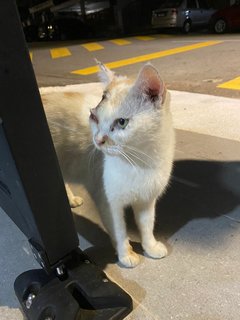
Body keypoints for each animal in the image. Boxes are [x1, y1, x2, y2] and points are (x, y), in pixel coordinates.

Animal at [41, 63, 174, 268]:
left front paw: (150, 248)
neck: (139, 162)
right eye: (94, 117)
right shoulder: (108, 203)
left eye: (122, 122)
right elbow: (119, 232)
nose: (97, 140)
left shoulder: (146, 201)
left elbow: (146, 226)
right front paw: (126, 255)